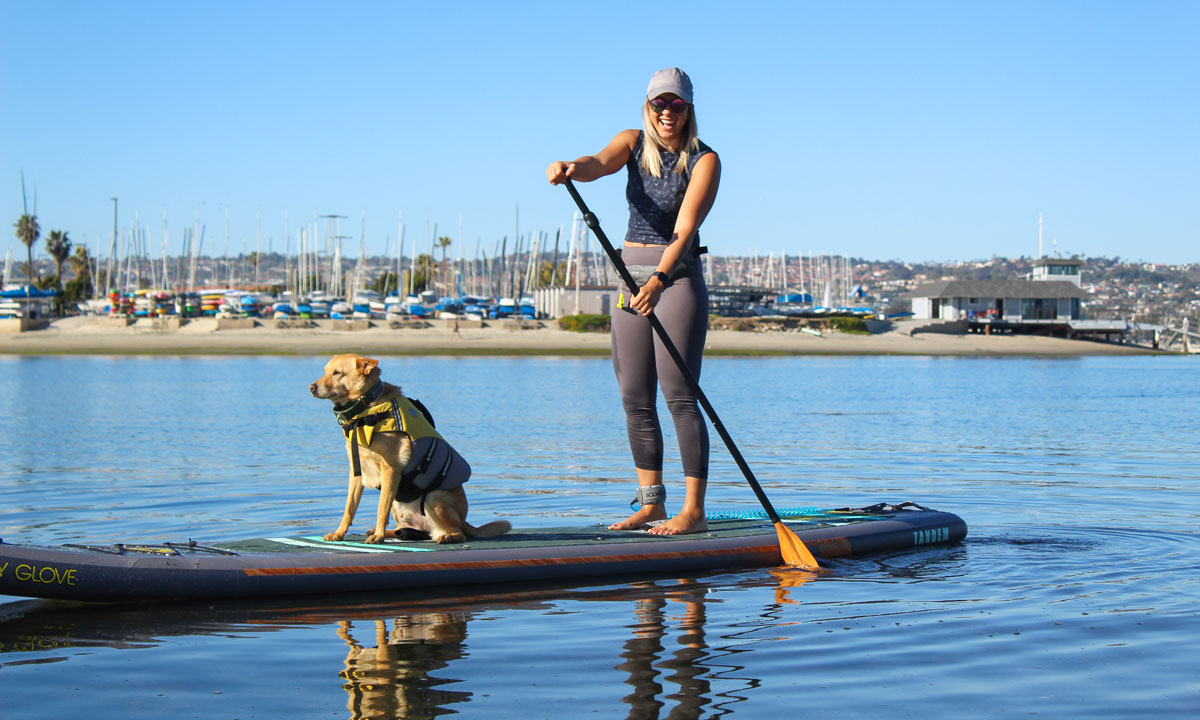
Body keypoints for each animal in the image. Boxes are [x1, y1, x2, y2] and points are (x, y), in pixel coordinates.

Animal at [309, 350, 511, 542]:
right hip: (398, 505)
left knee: (458, 533)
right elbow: (349, 508)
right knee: (403, 528)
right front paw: (339, 534)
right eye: (325, 371)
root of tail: (464, 521)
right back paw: (387, 532)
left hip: (434, 497)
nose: (311, 387)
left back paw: (446, 537)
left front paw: (378, 537)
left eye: (337, 373)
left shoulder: (390, 469)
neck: (365, 410)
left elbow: (380, 509)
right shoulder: (357, 471)